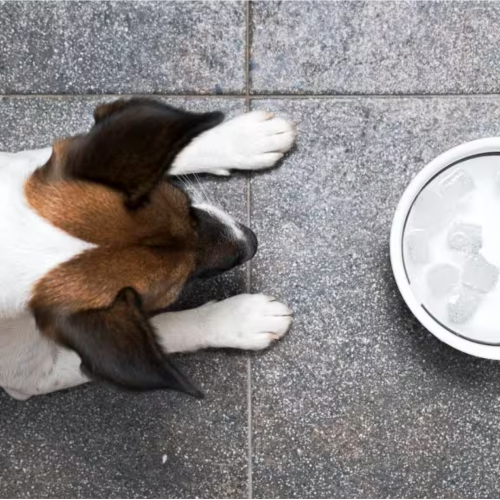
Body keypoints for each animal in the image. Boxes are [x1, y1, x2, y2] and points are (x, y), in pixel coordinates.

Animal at [0, 99, 294, 400]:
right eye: (186, 280)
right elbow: (165, 329)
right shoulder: (37, 375)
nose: (252, 241)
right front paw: (239, 319)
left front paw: (240, 138)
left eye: (188, 208)